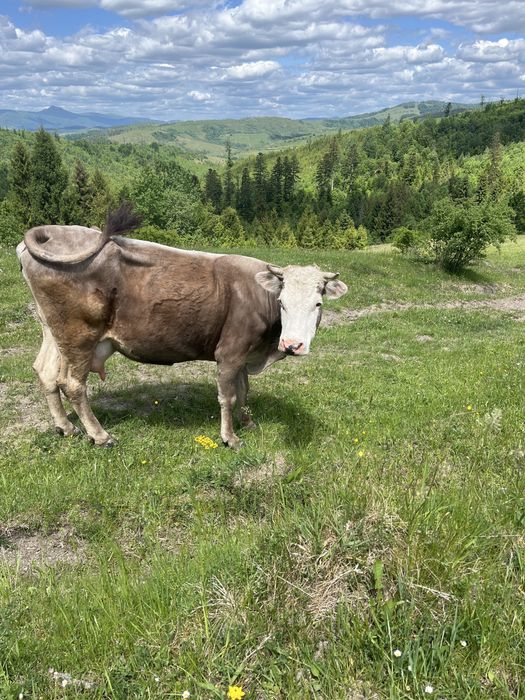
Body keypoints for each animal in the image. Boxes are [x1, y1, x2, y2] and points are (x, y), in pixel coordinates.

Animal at [17, 207, 347, 448]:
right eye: (282, 301)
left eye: (318, 303)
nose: (292, 344)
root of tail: (55, 231)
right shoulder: (229, 352)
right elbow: (228, 395)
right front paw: (230, 437)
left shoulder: (243, 353)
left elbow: (244, 390)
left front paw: (248, 422)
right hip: (79, 335)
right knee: (72, 383)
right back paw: (100, 435)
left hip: (54, 332)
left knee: (46, 372)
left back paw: (65, 427)